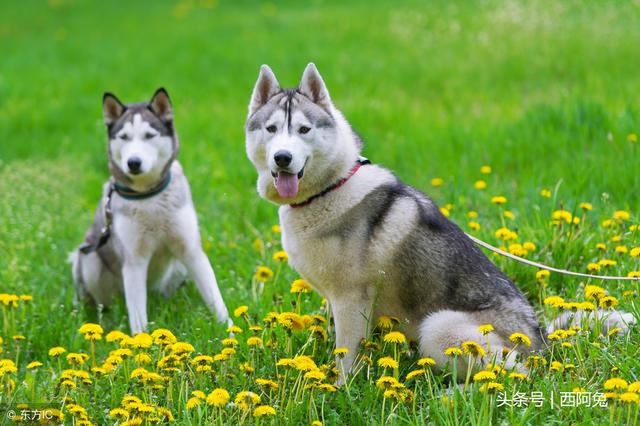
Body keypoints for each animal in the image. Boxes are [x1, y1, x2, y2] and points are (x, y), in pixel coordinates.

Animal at [71, 88, 231, 334]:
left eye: (149, 135)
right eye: (124, 137)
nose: (133, 162)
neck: (149, 198)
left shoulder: (191, 251)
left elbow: (216, 299)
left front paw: (232, 330)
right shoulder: (134, 261)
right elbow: (138, 315)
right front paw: (140, 341)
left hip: (178, 268)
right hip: (89, 260)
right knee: (104, 304)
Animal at [246, 63, 636, 376]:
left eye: (304, 130)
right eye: (271, 129)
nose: (282, 158)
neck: (331, 186)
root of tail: (540, 338)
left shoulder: (350, 299)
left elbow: (346, 357)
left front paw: (342, 390)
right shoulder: (336, 300)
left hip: (438, 327)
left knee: (515, 372)